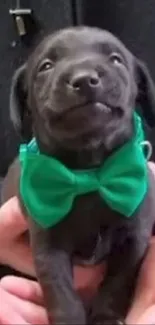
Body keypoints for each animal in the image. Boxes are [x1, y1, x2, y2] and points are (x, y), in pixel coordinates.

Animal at [2, 26, 155, 322]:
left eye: (116, 59)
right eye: (46, 66)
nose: (84, 79)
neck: (89, 174)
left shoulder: (134, 238)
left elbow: (117, 281)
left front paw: (106, 316)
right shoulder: (47, 246)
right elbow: (60, 291)